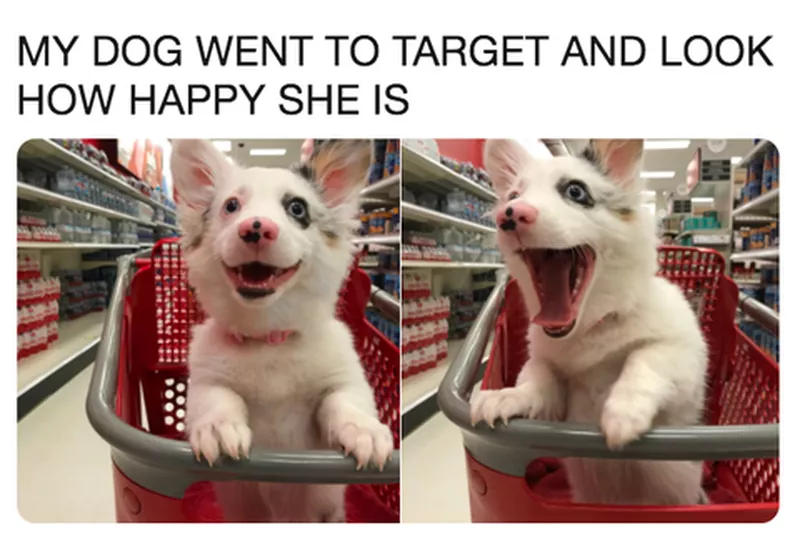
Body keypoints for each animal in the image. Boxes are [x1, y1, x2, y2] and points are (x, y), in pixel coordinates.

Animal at [170, 137, 392, 520]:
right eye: (231, 206)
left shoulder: (344, 380)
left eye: (297, 208)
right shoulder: (204, 382)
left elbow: (344, 401)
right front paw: (217, 427)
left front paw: (364, 430)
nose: (256, 227)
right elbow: (218, 398)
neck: (268, 338)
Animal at [472, 139, 708, 504]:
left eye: (576, 191)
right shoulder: (549, 380)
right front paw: (507, 397)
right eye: (513, 195)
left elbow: (645, 359)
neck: (589, 327)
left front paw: (623, 412)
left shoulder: (683, 358)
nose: (509, 214)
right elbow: (537, 379)